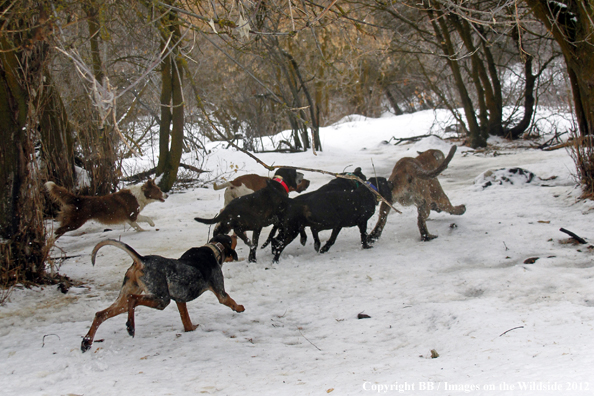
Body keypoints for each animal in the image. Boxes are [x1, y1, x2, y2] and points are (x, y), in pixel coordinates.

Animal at [80, 234, 242, 352]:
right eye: (230, 239)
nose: (235, 234)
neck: (213, 249)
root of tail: (142, 260)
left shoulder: (180, 299)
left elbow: (186, 320)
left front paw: (190, 329)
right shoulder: (221, 293)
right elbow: (230, 301)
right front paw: (240, 307)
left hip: (125, 300)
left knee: (100, 314)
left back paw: (86, 342)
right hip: (161, 299)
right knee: (133, 299)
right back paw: (130, 327)